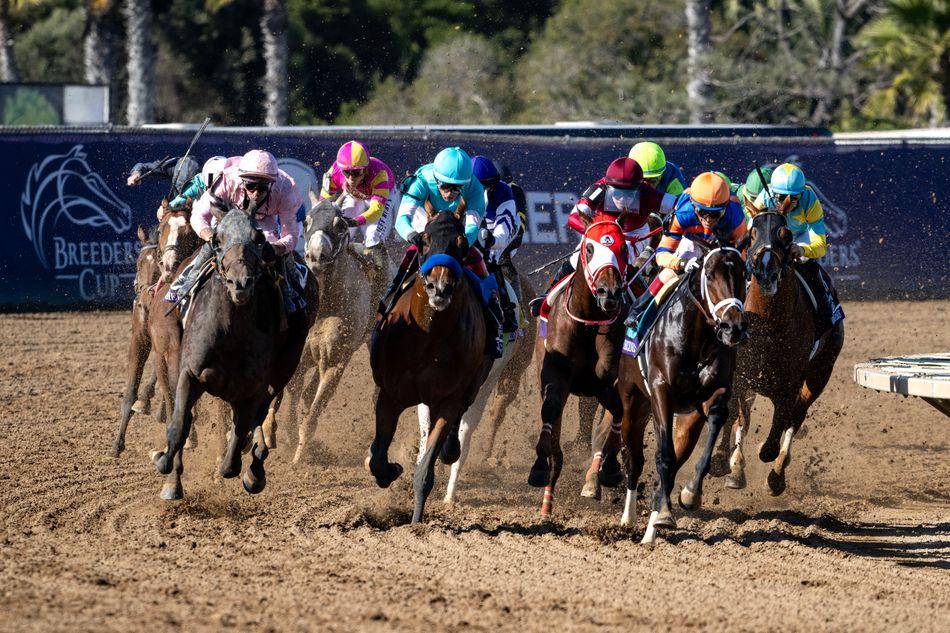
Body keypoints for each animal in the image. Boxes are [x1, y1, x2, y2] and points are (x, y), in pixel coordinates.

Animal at [152, 207, 320, 498]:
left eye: (259, 239)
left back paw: (255, 467)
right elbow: (179, 424)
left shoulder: (253, 387)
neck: (231, 332)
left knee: (259, 415)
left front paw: (240, 467)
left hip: (285, 367)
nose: (239, 283)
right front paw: (167, 468)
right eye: (217, 240)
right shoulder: (190, 374)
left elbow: (239, 437)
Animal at [368, 205, 494, 520]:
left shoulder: (448, 400)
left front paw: (415, 521)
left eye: (462, 244)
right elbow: (378, 457)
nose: (439, 288)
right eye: (424, 240)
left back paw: (451, 449)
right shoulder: (390, 395)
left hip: (472, 384)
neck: (428, 336)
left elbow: (425, 471)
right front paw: (391, 469)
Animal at [532, 215, 636, 516]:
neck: (588, 322)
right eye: (589, 248)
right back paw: (547, 501)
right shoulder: (555, 376)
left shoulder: (607, 381)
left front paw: (610, 468)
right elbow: (550, 411)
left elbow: (616, 413)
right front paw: (540, 466)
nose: (608, 292)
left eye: (623, 248)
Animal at [720, 207, 848, 494]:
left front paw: (768, 455)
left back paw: (777, 475)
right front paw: (729, 465)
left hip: (820, 372)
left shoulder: (790, 384)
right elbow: (735, 416)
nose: (766, 271)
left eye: (786, 234)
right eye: (752, 233)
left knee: (796, 416)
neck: (768, 325)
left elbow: (778, 427)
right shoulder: (740, 376)